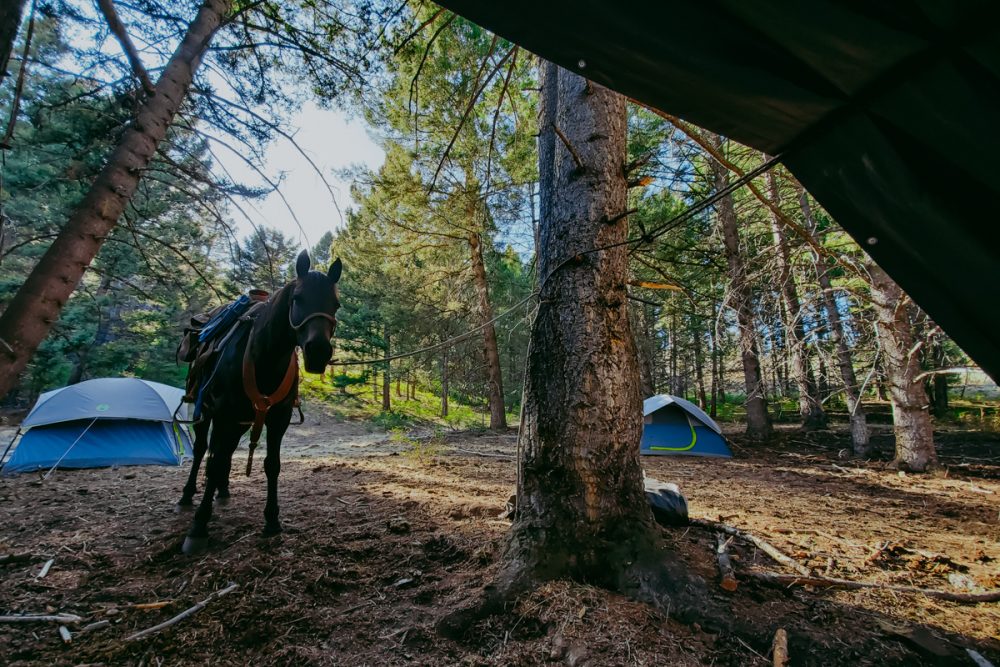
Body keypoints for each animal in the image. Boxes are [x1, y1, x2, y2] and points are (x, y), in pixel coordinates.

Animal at [176, 248, 340, 556]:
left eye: (335, 304)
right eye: (298, 298)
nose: (318, 351)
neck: (264, 354)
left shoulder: (278, 418)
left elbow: (271, 464)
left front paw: (272, 521)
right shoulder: (223, 413)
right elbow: (212, 463)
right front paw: (198, 527)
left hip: (240, 421)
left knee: (225, 451)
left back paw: (223, 491)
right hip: (206, 412)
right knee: (204, 449)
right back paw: (188, 496)